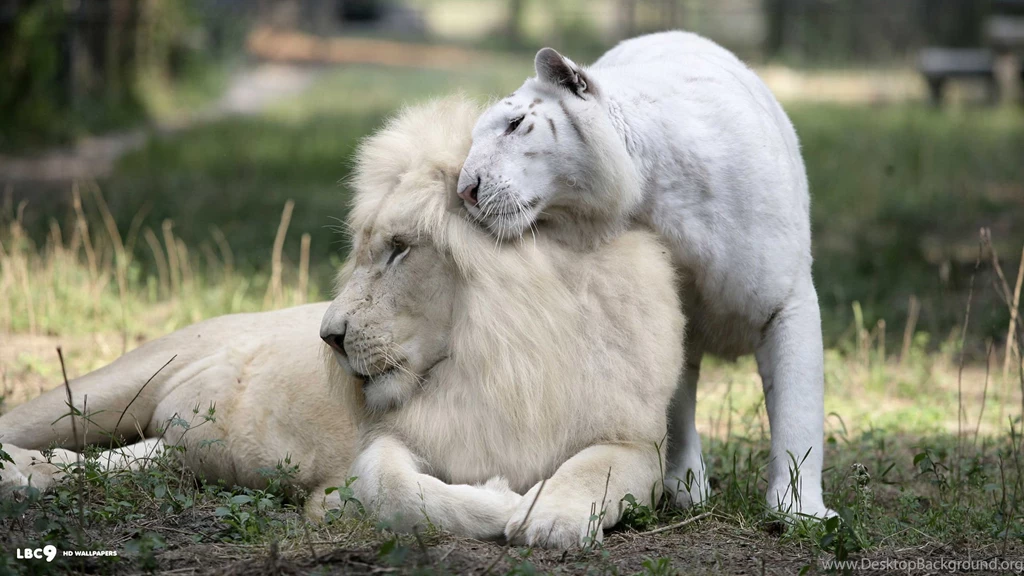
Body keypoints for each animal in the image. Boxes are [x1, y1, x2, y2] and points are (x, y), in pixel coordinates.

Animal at [0, 97, 684, 548]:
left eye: (400, 248)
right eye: (363, 249)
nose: (328, 337)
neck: (501, 358)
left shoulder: (639, 442)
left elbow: (595, 468)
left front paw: (551, 517)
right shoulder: (387, 444)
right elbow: (395, 491)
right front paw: (502, 499)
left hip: (169, 445)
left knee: (116, 461)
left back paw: (36, 474)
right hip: (103, 389)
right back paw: (17, 471)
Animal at [455, 31, 832, 518]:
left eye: (515, 124)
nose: (464, 190)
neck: (655, 193)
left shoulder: (787, 301)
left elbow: (798, 409)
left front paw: (800, 511)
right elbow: (674, 406)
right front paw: (687, 489)